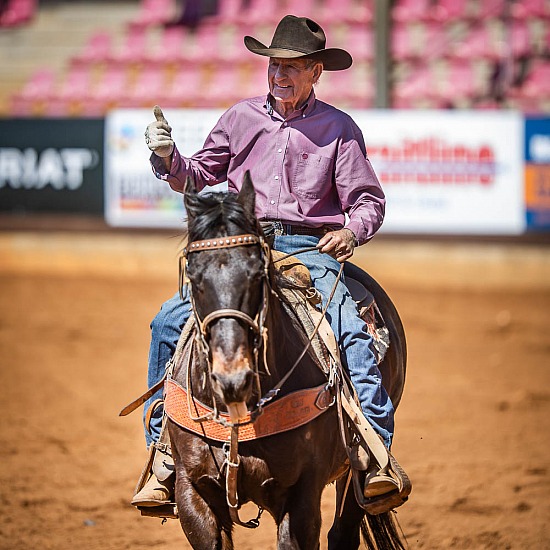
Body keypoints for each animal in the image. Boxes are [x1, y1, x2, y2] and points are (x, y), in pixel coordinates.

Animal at [168, 174, 410, 550]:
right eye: (193, 277)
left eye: (257, 273)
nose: (232, 379)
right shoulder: (193, 491)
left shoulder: (302, 496)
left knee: (344, 531)